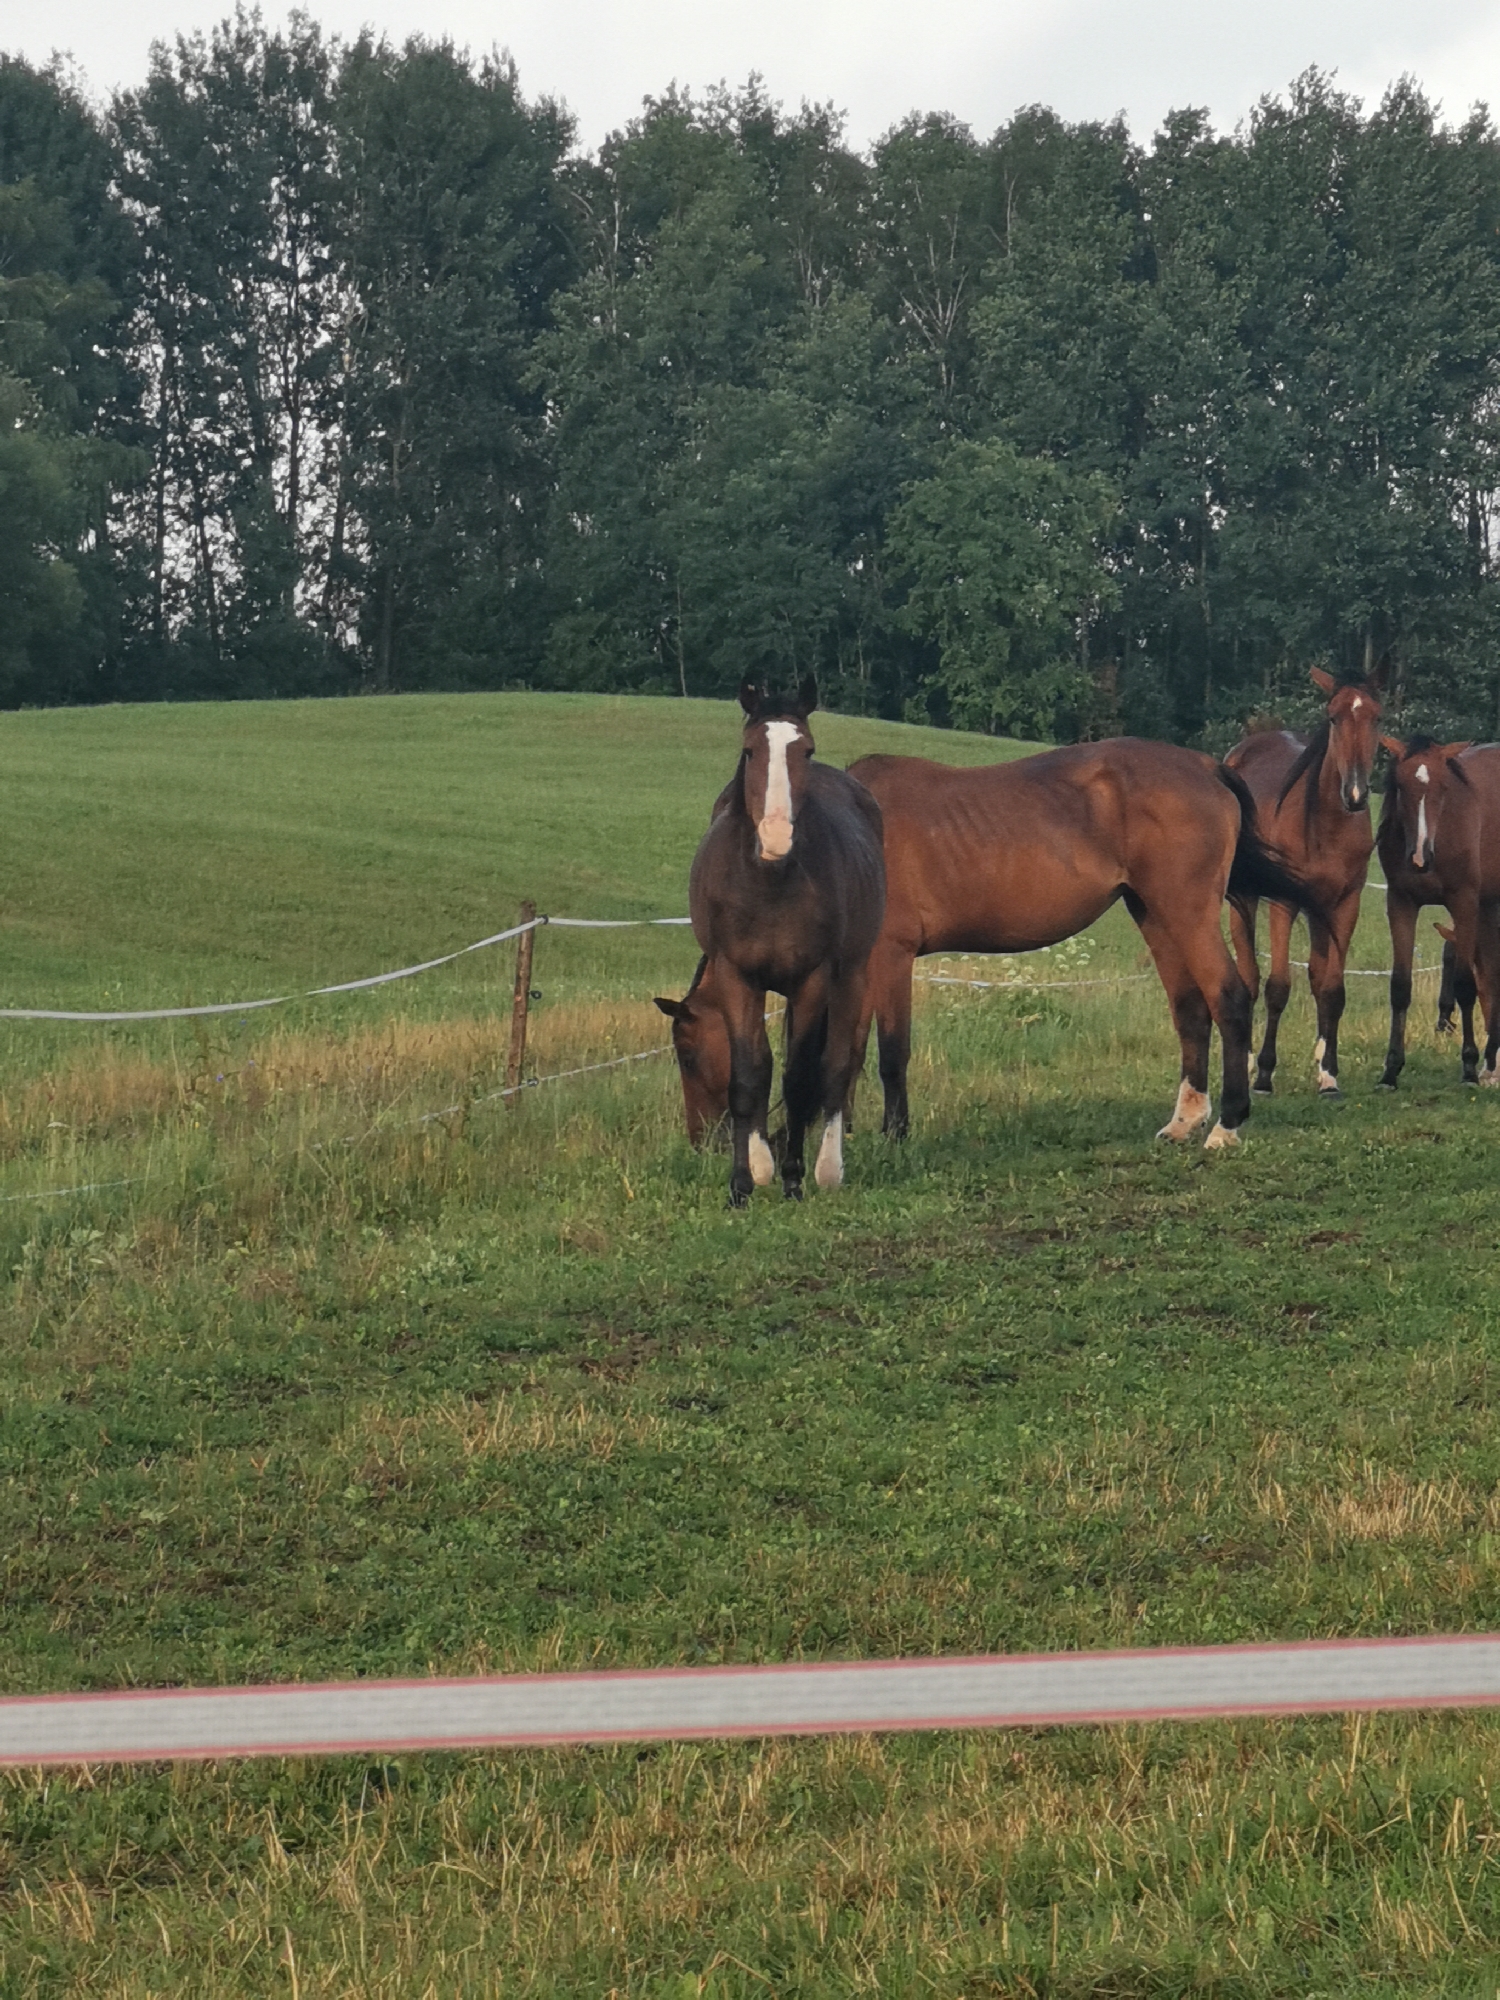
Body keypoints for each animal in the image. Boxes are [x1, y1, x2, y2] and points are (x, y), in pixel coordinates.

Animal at [675, 677, 886, 1205]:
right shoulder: (737, 977)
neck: (768, 882)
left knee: (838, 1064)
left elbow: (799, 1079)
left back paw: (827, 1167)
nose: (775, 837)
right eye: (749, 750)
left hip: (852, 976)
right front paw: (745, 1180)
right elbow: (750, 1075)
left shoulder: (812, 979)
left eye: (805, 749)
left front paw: (792, 1177)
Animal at [1223, 664, 1383, 1098]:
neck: (1324, 825)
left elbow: (1331, 989)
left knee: (1315, 975)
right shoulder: (1284, 903)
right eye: (1333, 717)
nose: (1356, 794)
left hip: (1318, 911)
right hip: (1243, 900)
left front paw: (1329, 1074)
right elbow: (1278, 987)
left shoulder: (1345, 905)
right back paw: (1245, 1060)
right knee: (1250, 977)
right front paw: (1264, 1075)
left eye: (1377, 718)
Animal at [1376, 735, 1500, 1088]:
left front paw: (1469, 1066)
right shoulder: (1400, 903)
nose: (1420, 857)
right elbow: (1400, 986)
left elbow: (1465, 985)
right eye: (1400, 785)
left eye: (1444, 787)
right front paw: (1391, 1069)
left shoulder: (1464, 903)